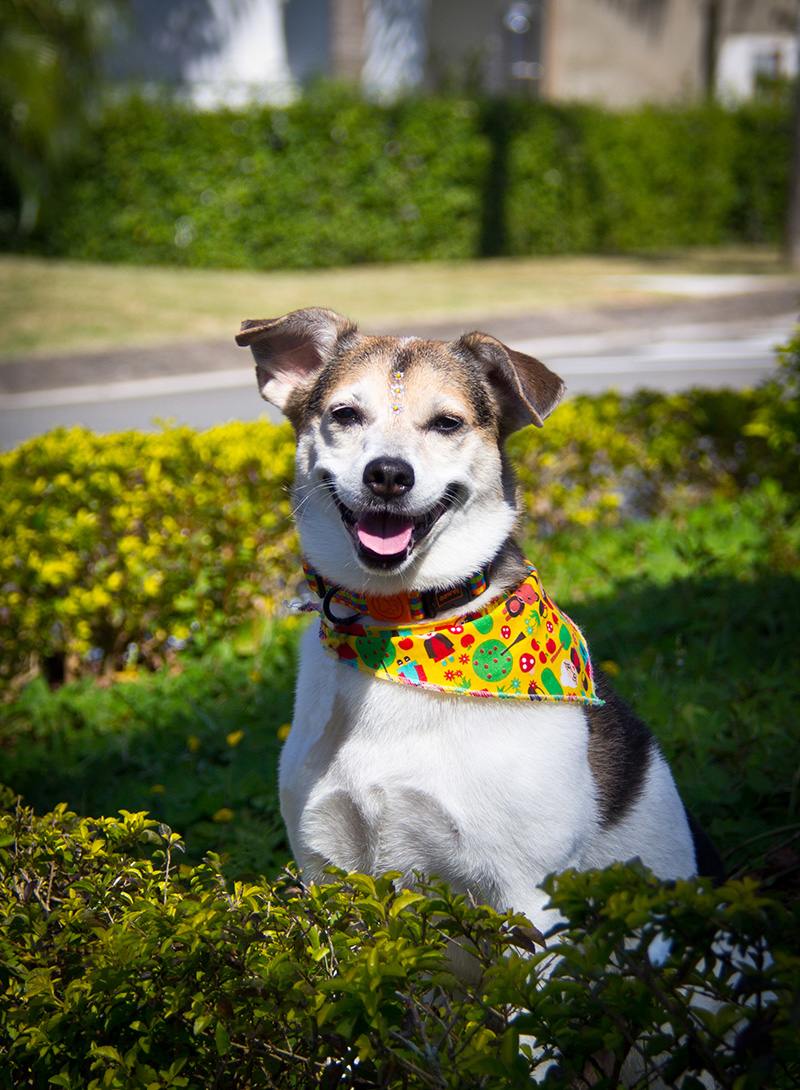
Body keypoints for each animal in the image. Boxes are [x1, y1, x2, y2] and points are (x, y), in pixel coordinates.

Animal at [235, 307, 723, 937]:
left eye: (447, 423)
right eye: (344, 414)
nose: (387, 474)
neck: (402, 632)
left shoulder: (529, 896)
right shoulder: (332, 877)